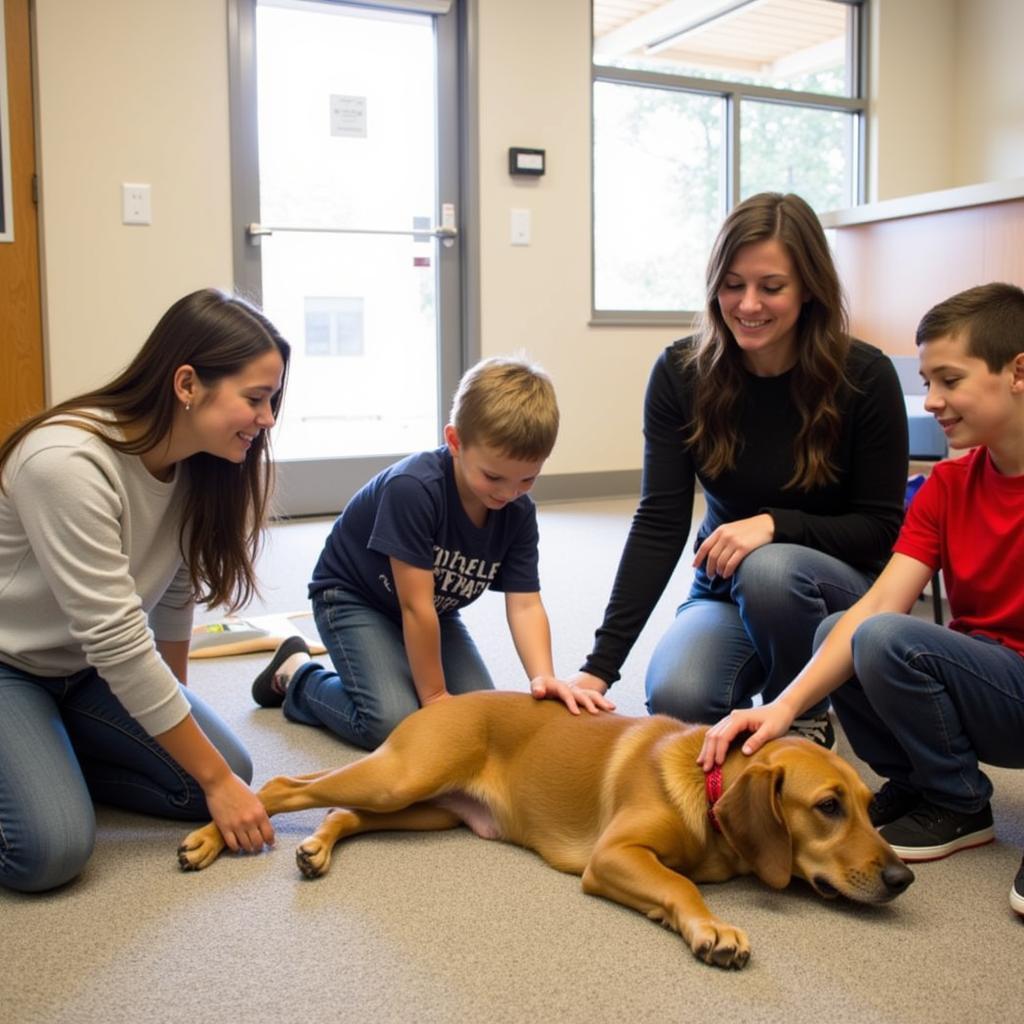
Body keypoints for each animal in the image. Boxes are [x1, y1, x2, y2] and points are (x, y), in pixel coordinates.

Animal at [174, 688, 913, 966]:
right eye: (827, 807)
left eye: (868, 805)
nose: (903, 876)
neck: (708, 789)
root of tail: (441, 700)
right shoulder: (613, 856)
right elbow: (681, 887)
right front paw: (712, 927)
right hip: (403, 778)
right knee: (282, 788)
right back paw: (212, 837)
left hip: (425, 806)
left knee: (340, 811)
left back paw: (316, 849)